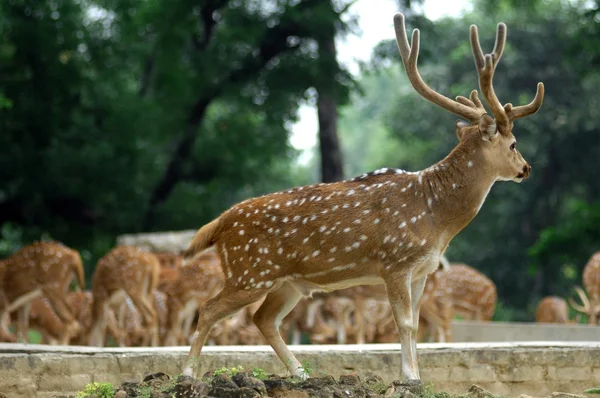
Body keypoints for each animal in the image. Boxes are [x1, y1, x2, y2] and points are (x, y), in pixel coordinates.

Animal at [178, 10, 544, 380]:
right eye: (513, 144)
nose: (526, 168)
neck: (436, 219)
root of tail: (219, 223)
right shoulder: (395, 261)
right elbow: (404, 323)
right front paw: (409, 377)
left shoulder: (422, 270)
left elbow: (414, 326)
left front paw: (416, 376)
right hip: (250, 271)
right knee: (209, 309)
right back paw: (188, 373)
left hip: (287, 283)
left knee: (262, 319)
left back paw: (301, 374)